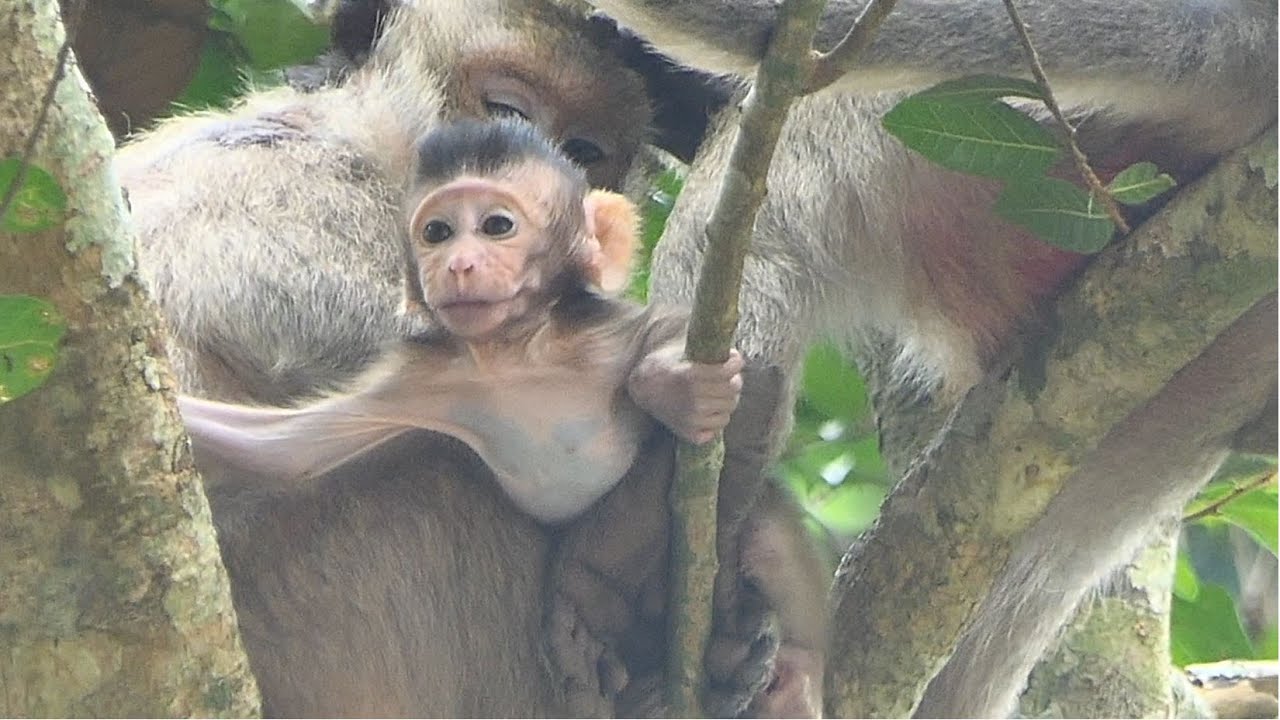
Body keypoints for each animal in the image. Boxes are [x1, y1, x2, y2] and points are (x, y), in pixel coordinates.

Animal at [179, 119, 745, 524]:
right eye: (437, 232)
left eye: (497, 225)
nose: (458, 265)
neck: (513, 356)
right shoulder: (420, 377)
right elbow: (281, 451)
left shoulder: (595, 335)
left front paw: (679, 388)